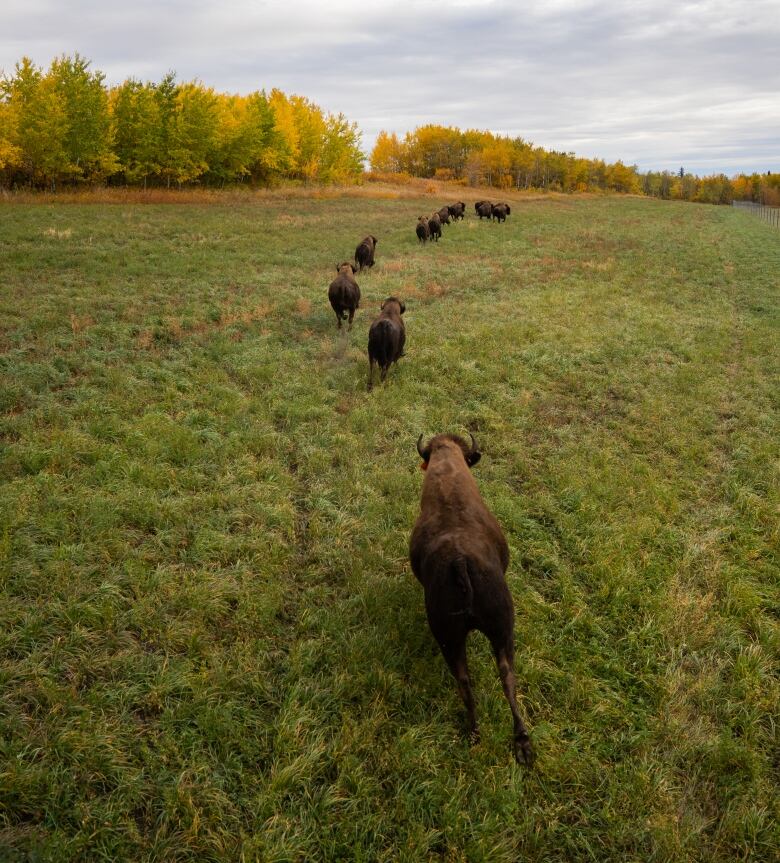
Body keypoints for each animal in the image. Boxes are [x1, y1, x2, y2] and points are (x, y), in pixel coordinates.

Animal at [408, 436, 536, 768]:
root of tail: (460, 561)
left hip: (458, 637)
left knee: (478, 679)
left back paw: (490, 735)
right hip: (495, 632)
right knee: (501, 676)